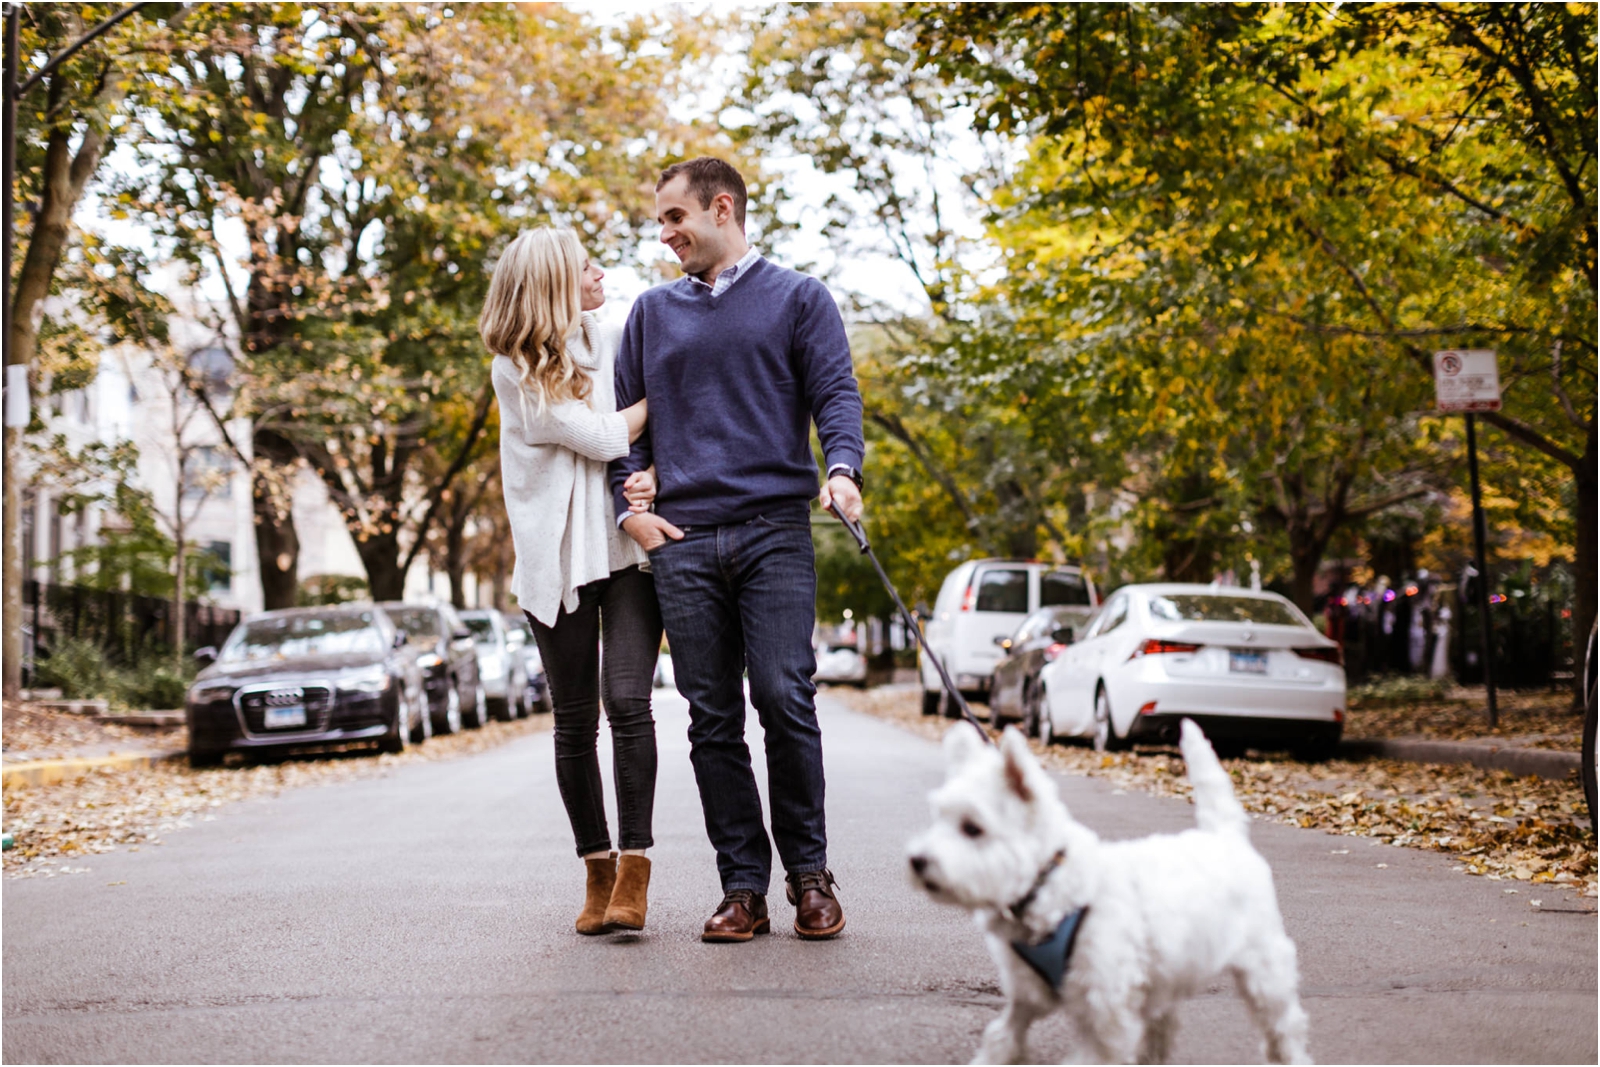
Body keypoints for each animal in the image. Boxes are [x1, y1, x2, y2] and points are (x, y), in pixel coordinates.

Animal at [908, 723, 1305, 1062]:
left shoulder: (1105, 1012)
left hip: (1264, 970)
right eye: (938, 817)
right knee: (1164, 1027)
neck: (1051, 882)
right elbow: (1002, 1039)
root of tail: (1225, 836)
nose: (917, 860)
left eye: (972, 828)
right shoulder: (1026, 997)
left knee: (1284, 1027)